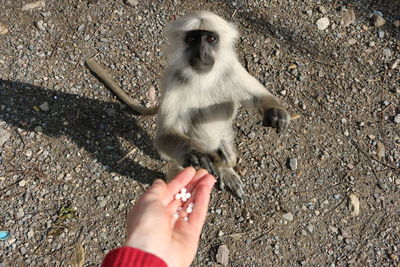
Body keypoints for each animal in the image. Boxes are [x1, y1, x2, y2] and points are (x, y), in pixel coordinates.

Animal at [86, 11, 290, 198]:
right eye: (192, 39)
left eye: (211, 39)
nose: (202, 53)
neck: (203, 78)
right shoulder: (174, 81)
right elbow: (164, 136)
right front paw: (193, 155)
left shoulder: (230, 69)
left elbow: (258, 96)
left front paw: (275, 111)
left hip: (224, 134)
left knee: (229, 152)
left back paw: (224, 167)